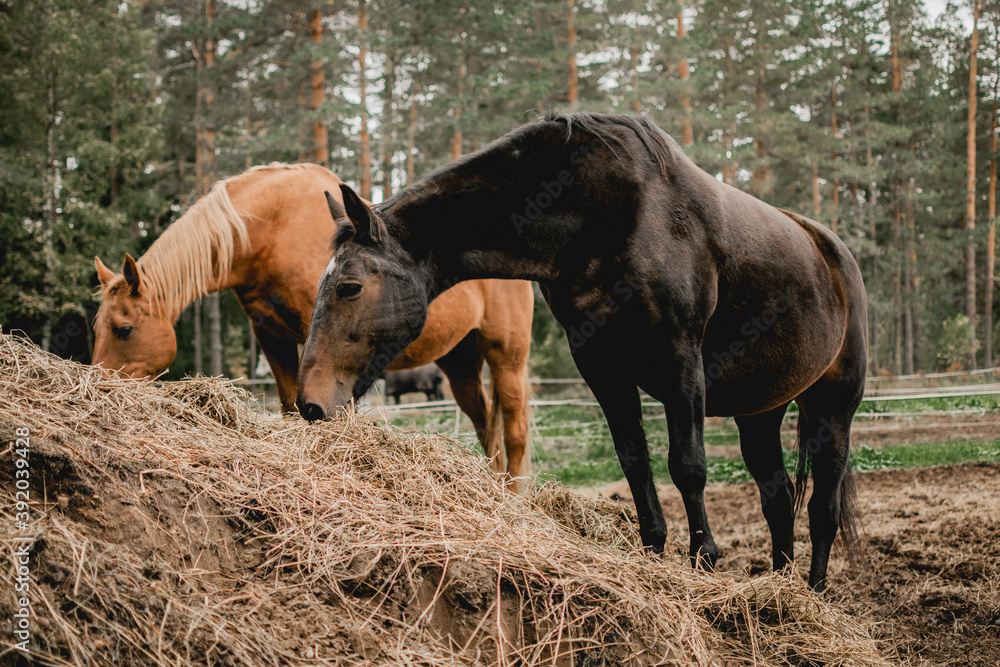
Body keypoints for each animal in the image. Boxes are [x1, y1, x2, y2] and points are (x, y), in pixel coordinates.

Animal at [92, 163, 534, 488]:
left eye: (124, 329)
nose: (100, 384)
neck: (270, 228)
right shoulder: (270, 335)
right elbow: (291, 406)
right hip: (459, 361)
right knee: (486, 428)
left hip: (506, 356)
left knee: (514, 430)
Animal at [296, 113, 868, 592]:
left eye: (348, 287)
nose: (310, 403)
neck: (608, 216)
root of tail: (833, 250)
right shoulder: (601, 366)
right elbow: (634, 461)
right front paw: (654, 552)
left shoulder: (681, 359)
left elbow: (687, 464)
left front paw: (703, 559)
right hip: (761, 412)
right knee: (778, 499)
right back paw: (783, 589)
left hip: (831, 407)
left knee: (822, 505)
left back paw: (815, 594)